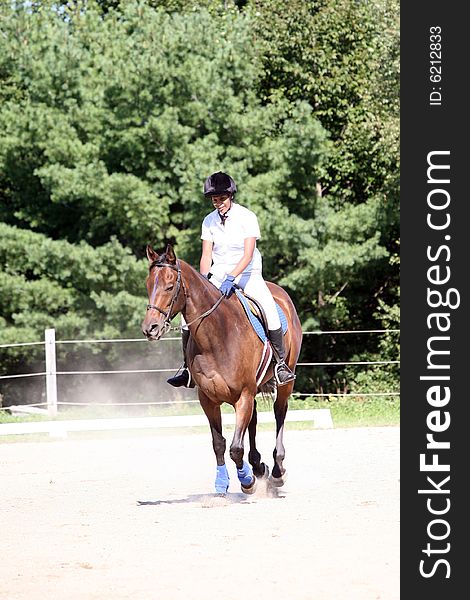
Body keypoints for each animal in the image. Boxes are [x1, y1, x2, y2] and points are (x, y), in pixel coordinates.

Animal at [141, 241, 302, 494]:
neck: (216, 337)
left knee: (280, 413)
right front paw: (223, 481)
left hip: (284, 382)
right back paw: (258, 466)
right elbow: (219, 443)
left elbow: (235, 448)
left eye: (169, 286)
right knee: (254, 420)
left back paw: (277, 471)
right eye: (148, 286)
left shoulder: (243, 395)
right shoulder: (208, 399)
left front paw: (247, 481)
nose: (150, 328)